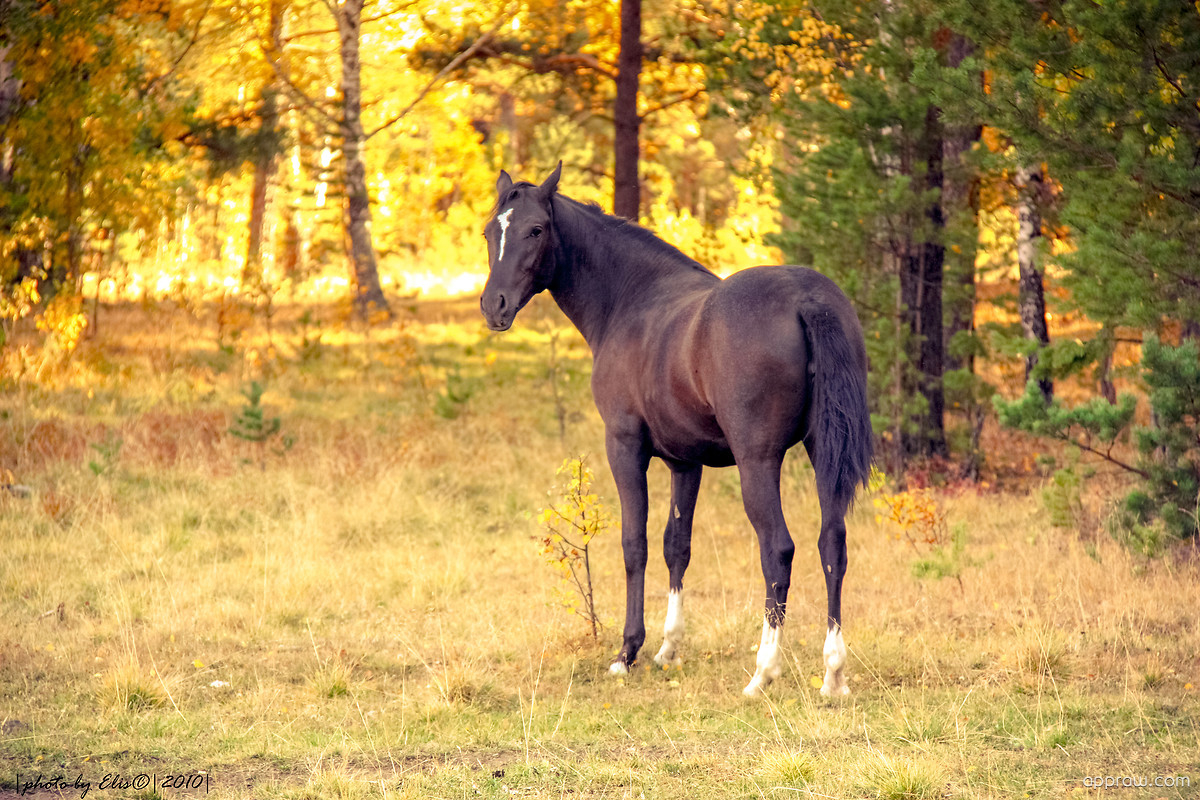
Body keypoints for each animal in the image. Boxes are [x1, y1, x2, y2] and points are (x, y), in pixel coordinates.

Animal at [480, 160, 873, 695]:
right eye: (489, 232)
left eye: (536, 229)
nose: (493, 306)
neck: (631, 300)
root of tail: (808, 299)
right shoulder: (686, 462)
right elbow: (676, 546)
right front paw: (668, 648)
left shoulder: (625, 447)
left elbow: (635, 544)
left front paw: (628, 652)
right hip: (821, 453)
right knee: (832, 543)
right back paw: (833, 673)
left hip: (758, 462)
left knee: (778, 550)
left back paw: (762, 671)